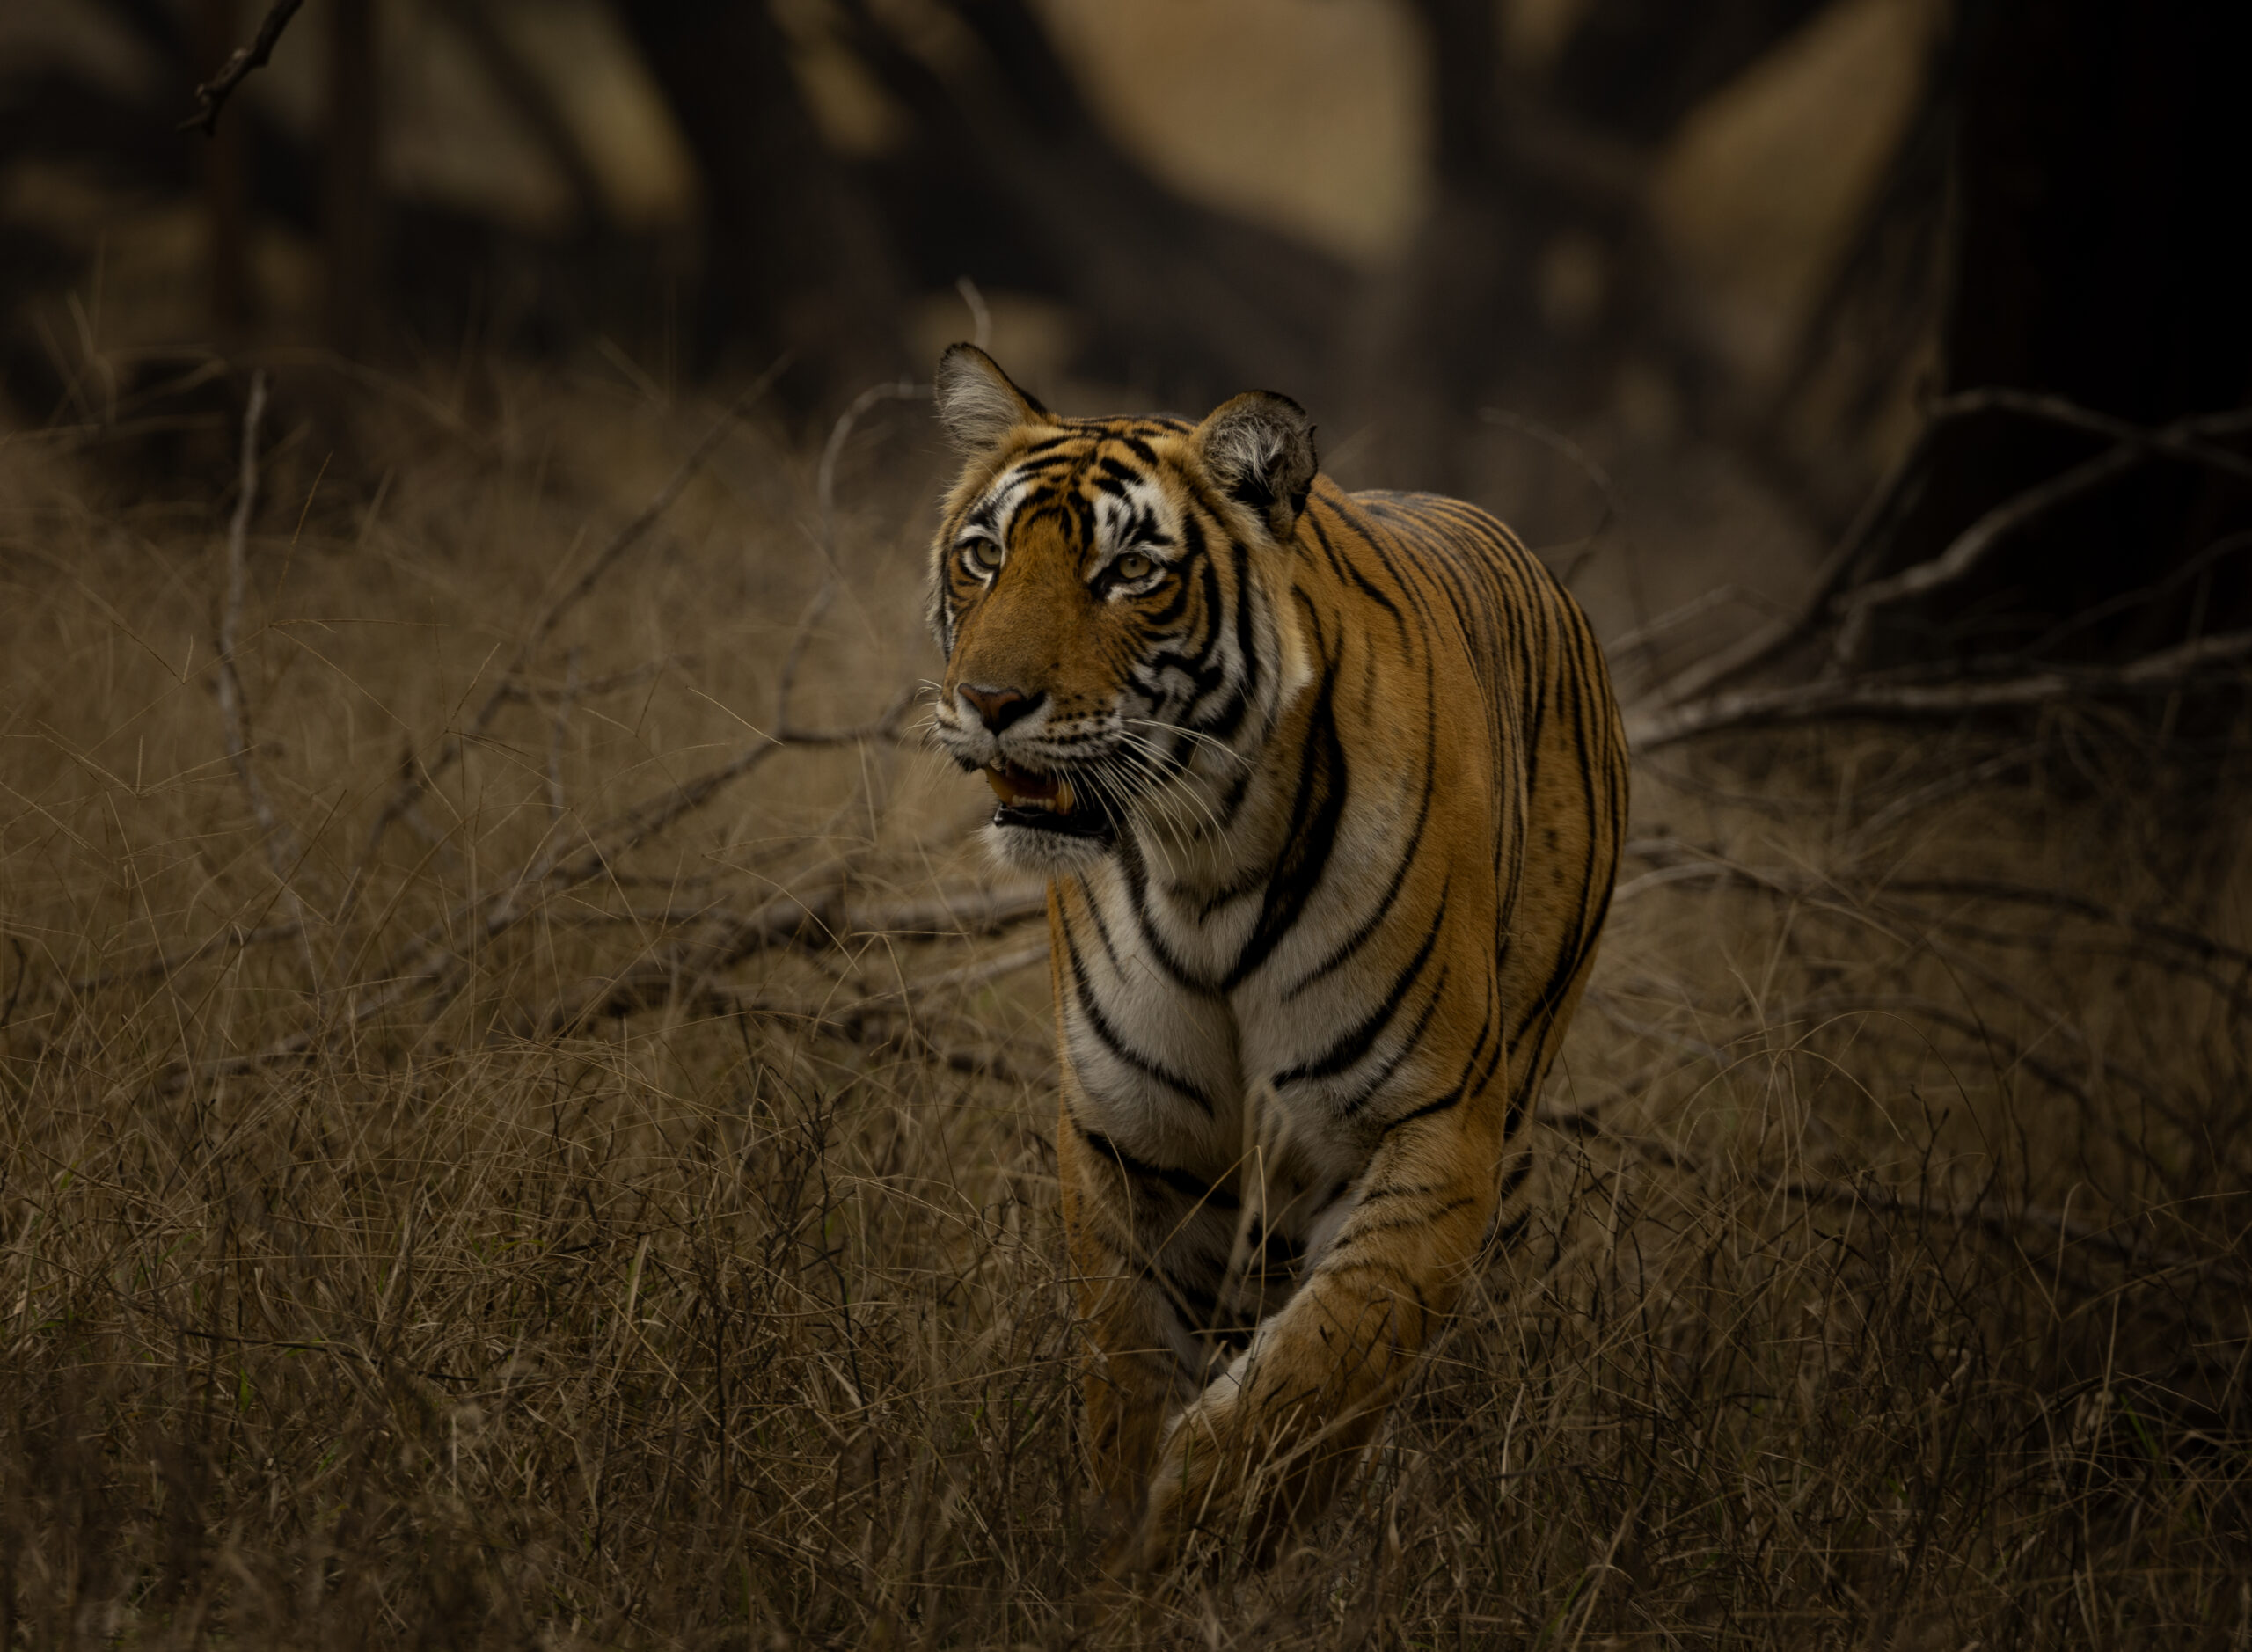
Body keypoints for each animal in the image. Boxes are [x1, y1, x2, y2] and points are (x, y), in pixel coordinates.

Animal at [924, 345, 1628, 1571]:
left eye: (1128, 572)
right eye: (984, 556)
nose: (990, 702)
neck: (1203, 857)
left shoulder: (1430, 1127)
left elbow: (1324, 1363)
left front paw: (1207, 1526)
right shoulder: (1132, 1138)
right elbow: (1128, 1381)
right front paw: (1126, 1558)